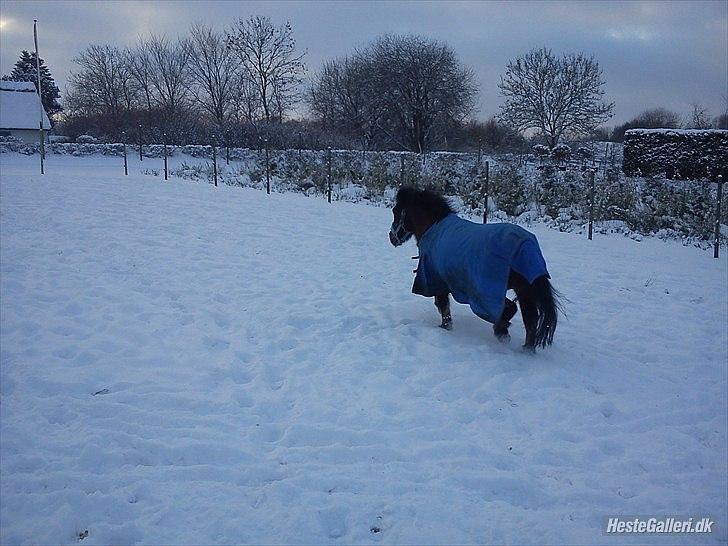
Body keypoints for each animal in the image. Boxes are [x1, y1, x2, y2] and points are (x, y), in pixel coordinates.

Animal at [390, 186, 560, 348]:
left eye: (396, 212)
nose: (391, 237)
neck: (435, 228)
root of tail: (526, 246)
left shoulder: (437, 280)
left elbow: (443, 306)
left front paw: (445, 327)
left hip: (490, 291)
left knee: (512, 309)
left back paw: (502, 332)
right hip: (524, 290)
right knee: (530, 320)